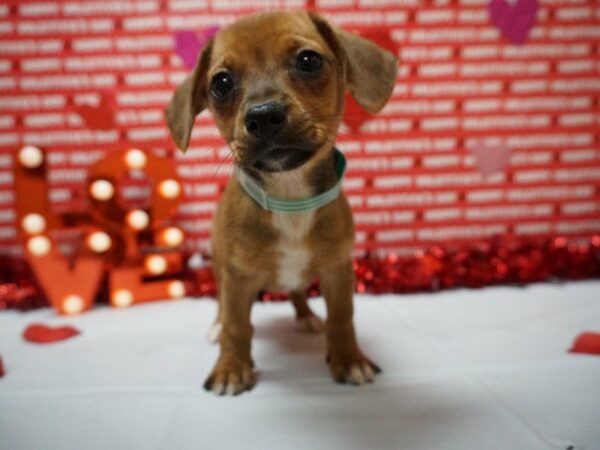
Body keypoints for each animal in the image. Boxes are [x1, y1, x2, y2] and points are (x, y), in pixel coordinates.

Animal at [166, 10, 396, 396]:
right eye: (221, 83)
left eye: (308, 60)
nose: (262, 115)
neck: (289, 199)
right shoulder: (237, 277)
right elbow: (236, 326)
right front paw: (231, 368)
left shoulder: (337, 269)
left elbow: (342, 317)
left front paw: (349, 359)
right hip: (220, 267)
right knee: (221, 305)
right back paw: (217, 325)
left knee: (298, 292)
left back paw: (306, 317)